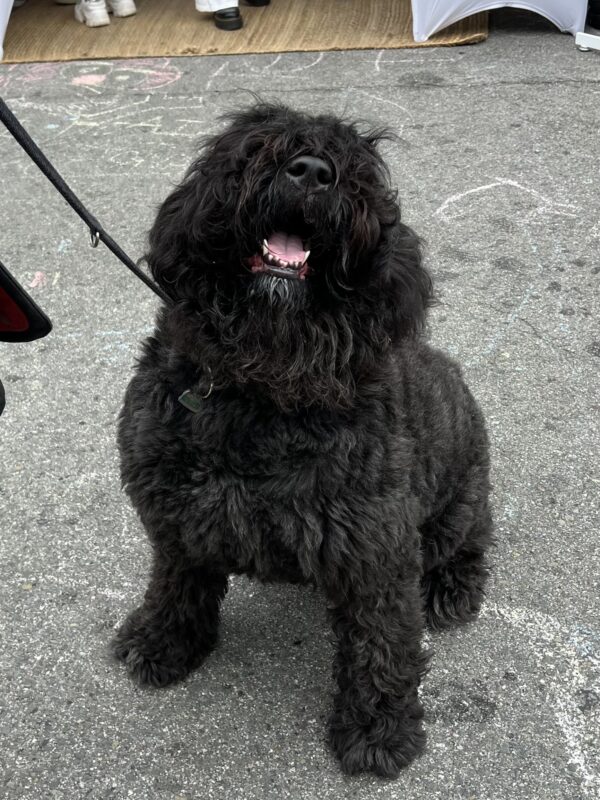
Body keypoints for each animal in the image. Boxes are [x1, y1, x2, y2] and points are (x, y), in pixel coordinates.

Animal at [113, 103, 492, 780]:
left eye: (361, 168)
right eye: (254, 141)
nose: (313, 171)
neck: (261, 386)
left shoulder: (377, 553)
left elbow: (381, 644)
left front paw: (377, 731)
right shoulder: (177, 518)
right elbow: (176, 584)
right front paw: (164, 641)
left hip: (459, 503)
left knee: (473, 538)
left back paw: (453, 587)